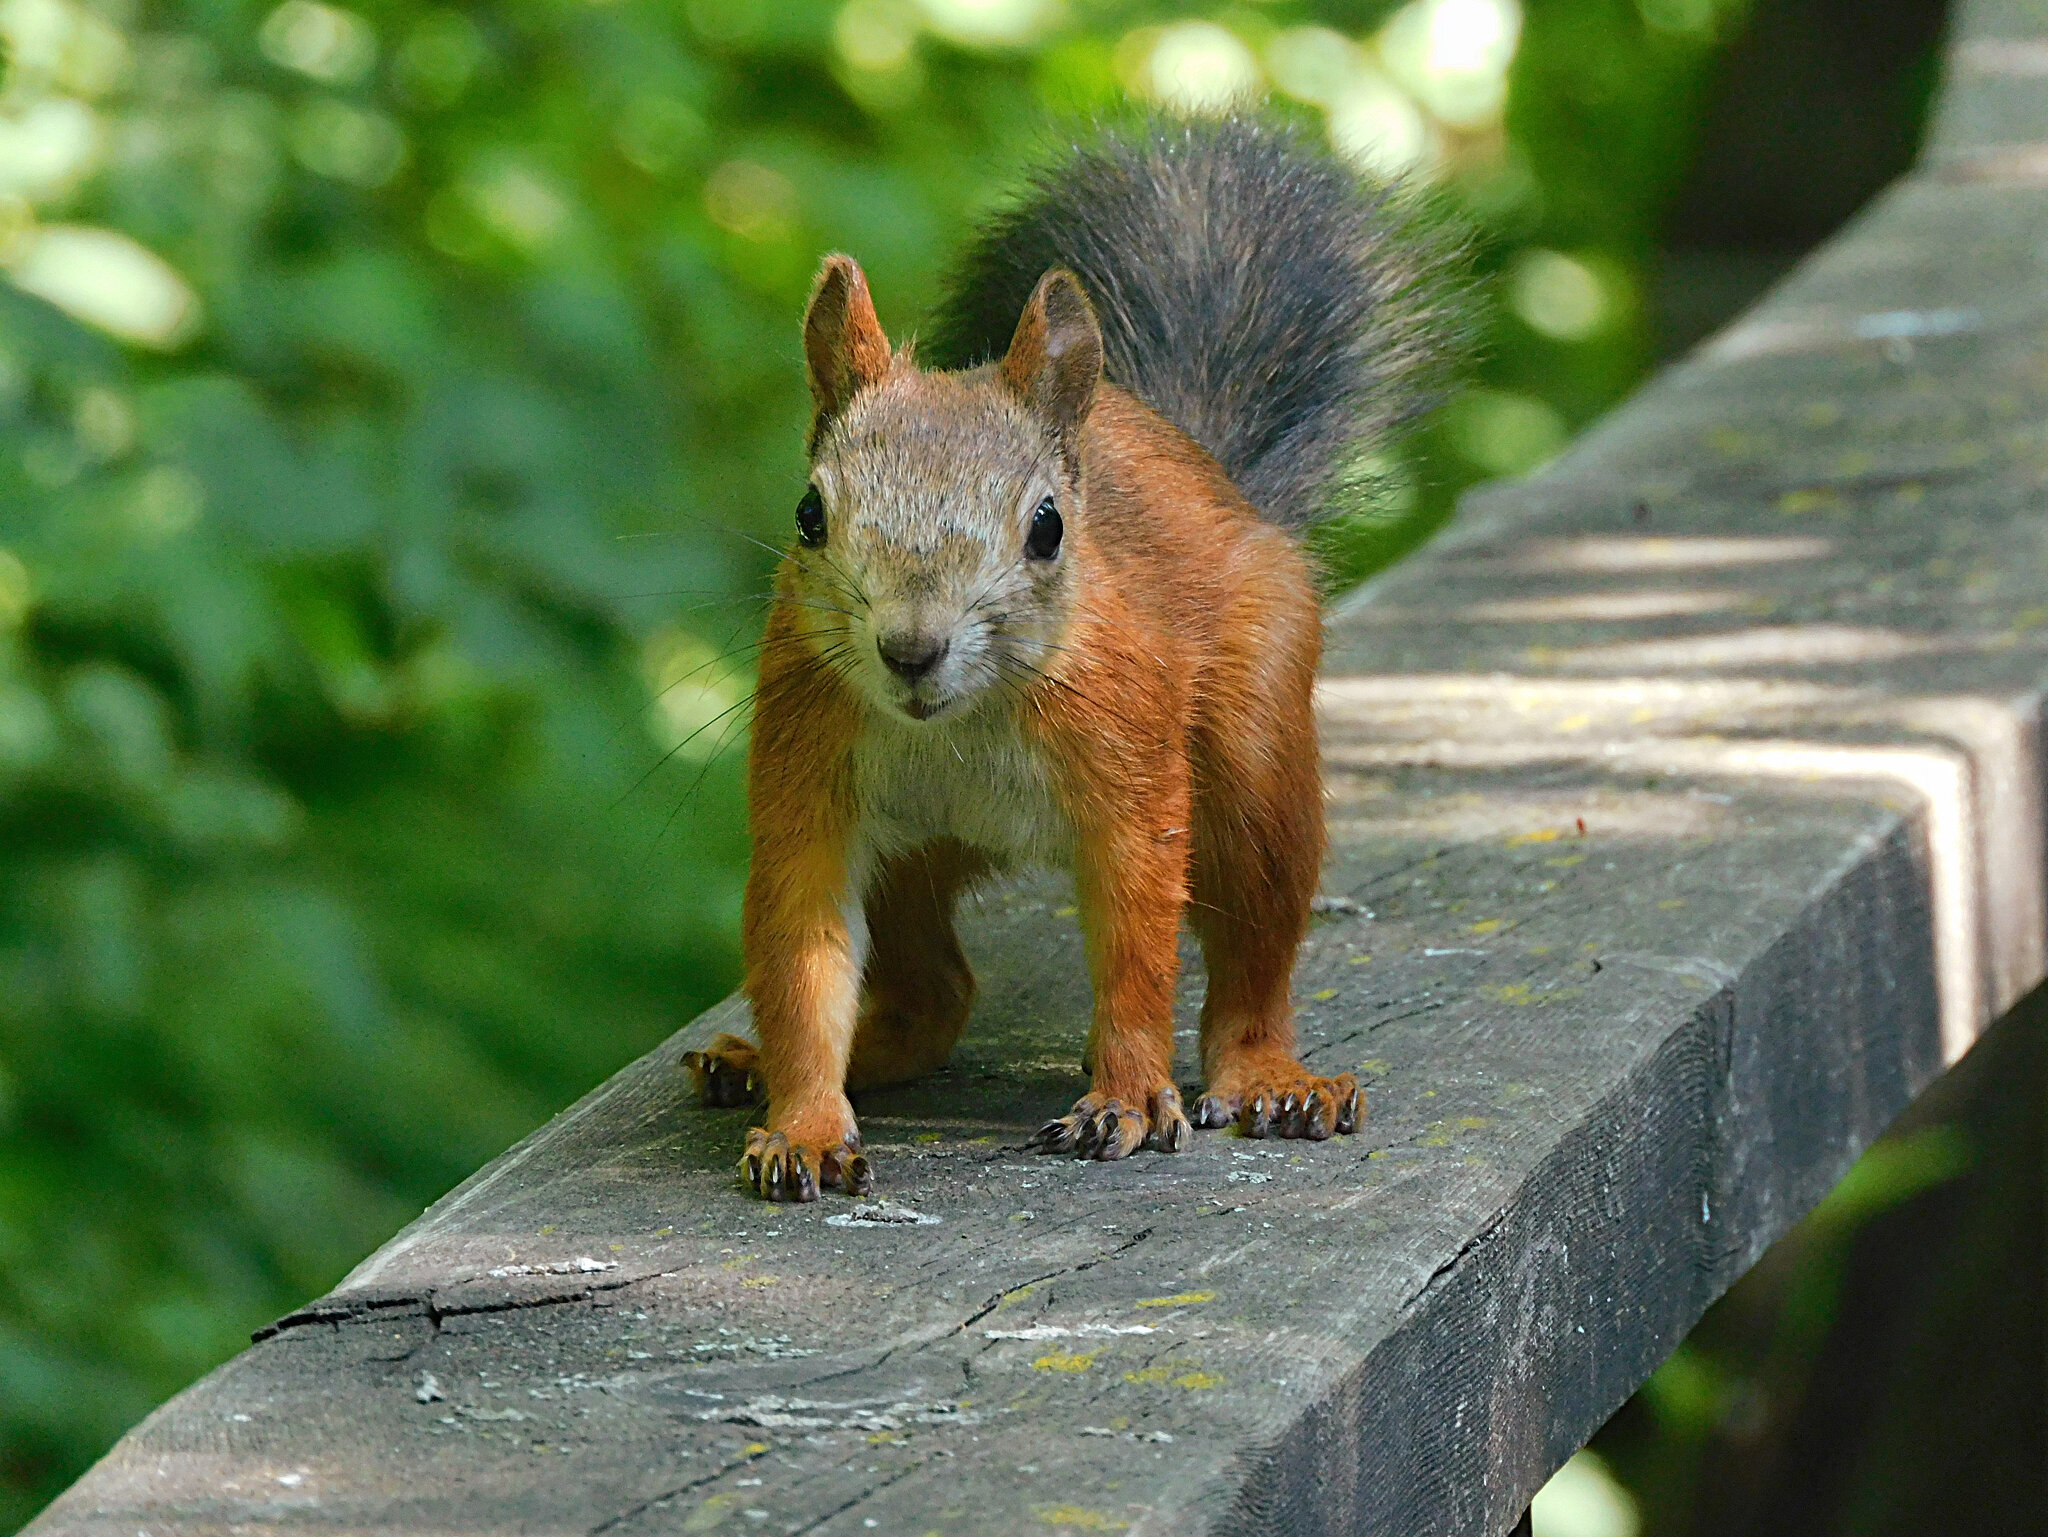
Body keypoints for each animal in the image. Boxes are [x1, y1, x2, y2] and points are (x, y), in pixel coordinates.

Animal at [684, 119, 1459, 1202]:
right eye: (808, 514)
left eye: (1047, 528)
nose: (910, 649)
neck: (962, 721)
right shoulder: (809, 781)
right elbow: (802, 959)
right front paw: (800, 1122)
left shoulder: (1128, 772)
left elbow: (1135, 947)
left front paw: (1124, 1097)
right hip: (909, 857)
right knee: (933, 997)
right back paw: (776, 1063)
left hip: (1255, 751)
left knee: (1251, 960)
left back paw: (1270, 1077)